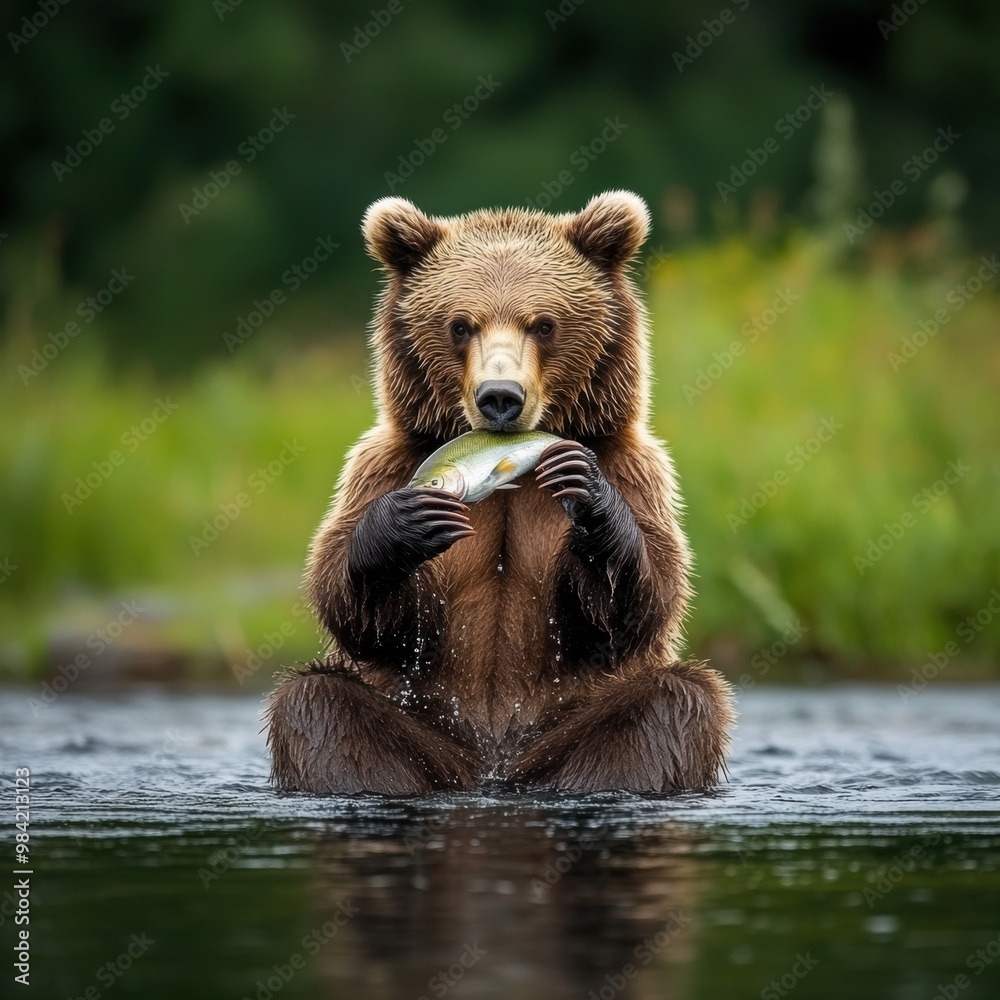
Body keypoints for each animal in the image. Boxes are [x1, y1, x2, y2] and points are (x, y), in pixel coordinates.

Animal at [266, 190, 734, 795]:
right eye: (461, 325)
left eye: (544, 324)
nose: (500, 396)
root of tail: (494, 768)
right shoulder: (384, 465)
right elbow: (364, 612)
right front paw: (401, 526)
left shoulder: (633, 467)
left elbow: (641, 598)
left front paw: (591, 502)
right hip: (427, 718)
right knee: (320, 704)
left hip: (568, 715)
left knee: (671, 704)